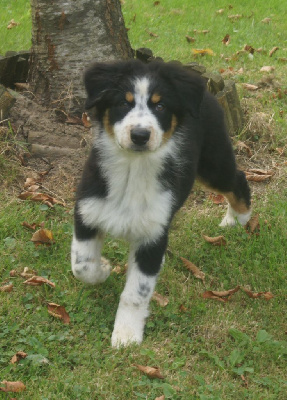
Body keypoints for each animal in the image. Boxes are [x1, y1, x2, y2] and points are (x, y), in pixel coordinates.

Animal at [71, 60, 252, 346]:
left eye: (160, 106)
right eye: (123, 103)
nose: (140, 135)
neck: (132, 170)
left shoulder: (153, 235)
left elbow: (136, 293)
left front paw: (126, 336)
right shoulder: (87, 213)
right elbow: (82, 266)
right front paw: (104, 269)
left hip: (212, 163)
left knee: (238, 179)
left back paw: (238, 220)